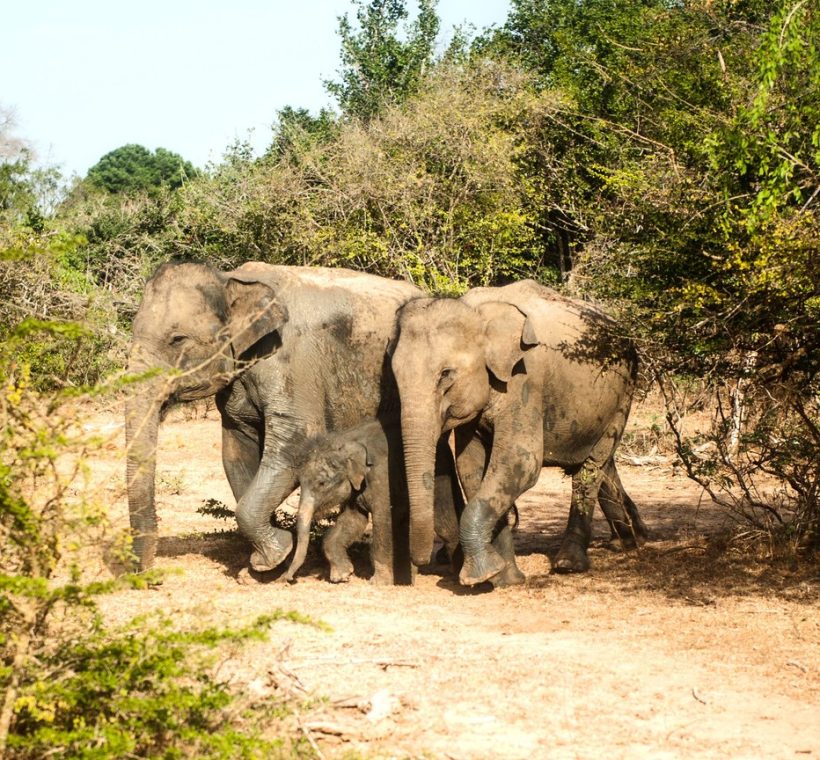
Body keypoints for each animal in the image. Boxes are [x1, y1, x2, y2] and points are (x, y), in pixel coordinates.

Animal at [125, 261, 421, 572]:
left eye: (177, 339)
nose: (146, 572)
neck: (231, 279)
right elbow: (236, 453)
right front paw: (262, 564)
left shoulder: (293, 364)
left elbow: (294, 445)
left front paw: (274, 557)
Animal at [284, 417, 464, 585]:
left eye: (321, 483)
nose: (289, 578)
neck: (346, 440)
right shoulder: (355, 488)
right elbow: (353, 520)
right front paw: (342, 576)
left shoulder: (382, 478)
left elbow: (384, 521)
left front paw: (379, 582)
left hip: (440, 476)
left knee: (444, 522)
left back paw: (455, 576)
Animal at [390, 279, 649, 587]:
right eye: (394, 375)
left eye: (446, 374)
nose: (419, 564)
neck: (478, 312)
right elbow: (472, 468)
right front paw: (504, 578)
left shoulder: (525, 378)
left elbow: (521, 461)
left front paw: (479, 576)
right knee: (601, 462)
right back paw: (632, 540)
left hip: (624, 392)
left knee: (591, 467)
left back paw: (570, 563)